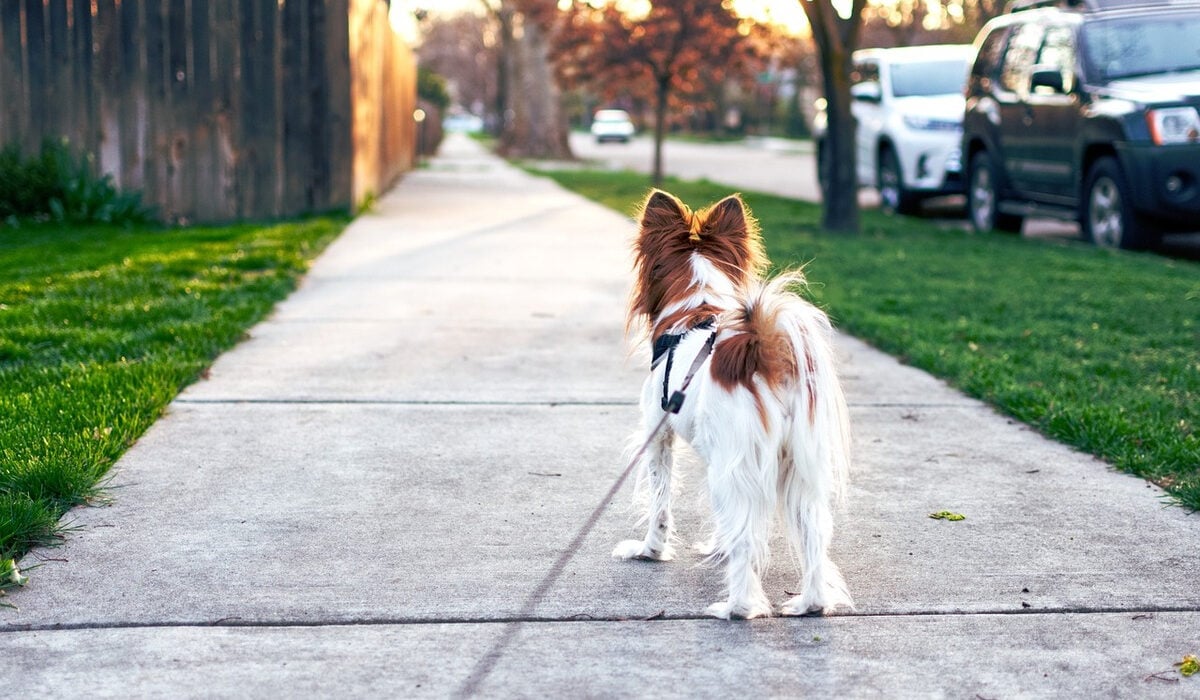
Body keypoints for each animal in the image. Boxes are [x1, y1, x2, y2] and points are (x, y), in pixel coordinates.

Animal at [614, 190, 859, 619]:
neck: (696, 308)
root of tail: (764, 351)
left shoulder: (659, 437)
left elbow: (660, 503)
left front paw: (650, 551)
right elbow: (720, 518)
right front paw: (717, 547)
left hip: (740, 461)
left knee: (747, 539)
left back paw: (737, 608)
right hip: (797, 466)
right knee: (813, 533)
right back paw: (810, 604)